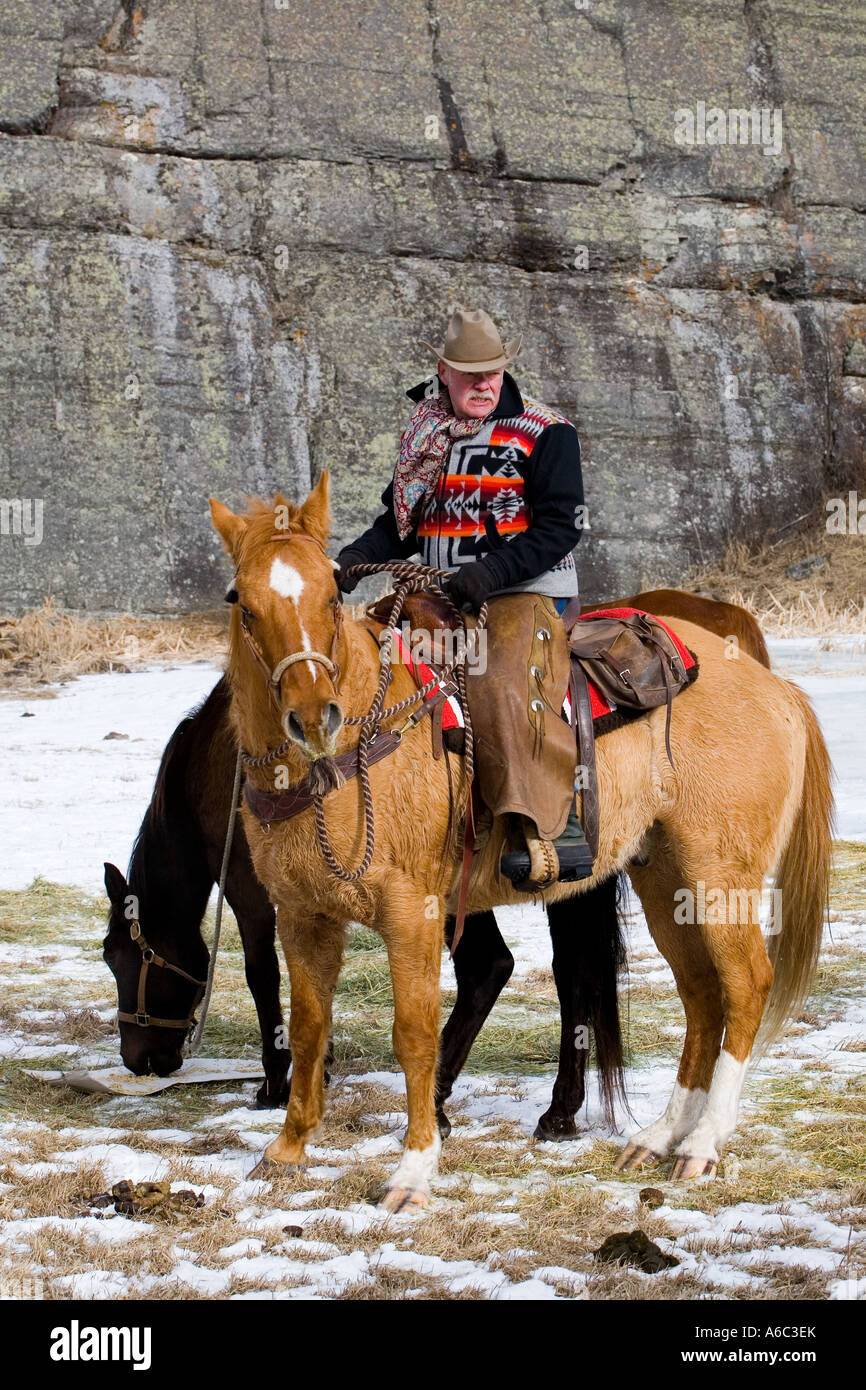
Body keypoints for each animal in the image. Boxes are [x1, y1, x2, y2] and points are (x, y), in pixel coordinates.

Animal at [209, 472, 832, 1212]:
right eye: (245, 605)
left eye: (331, 595)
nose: (314, 717)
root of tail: (777, 687)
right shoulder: (303, 916)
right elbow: (307, 1027)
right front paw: (287, 1149)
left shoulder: (412, 914)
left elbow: (413, 1033)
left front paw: (414, 1169)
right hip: (664, 881)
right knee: (704, 995)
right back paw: (658, 1137)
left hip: (720, 879)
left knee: (746, 986)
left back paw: (702, 1144)